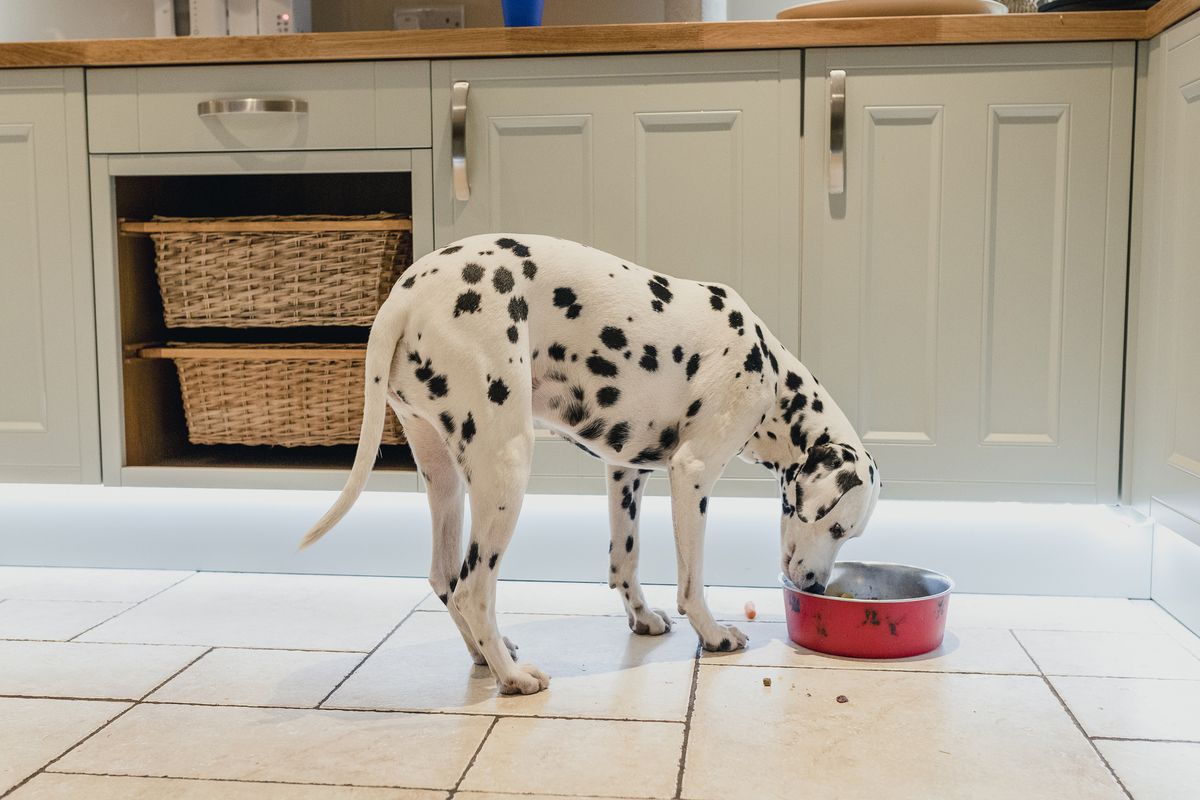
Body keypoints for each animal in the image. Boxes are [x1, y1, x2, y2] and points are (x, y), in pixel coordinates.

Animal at [300, 232, 883, 695]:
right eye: (835, 527)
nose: (814, 588)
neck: (769, 371)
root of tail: (405, 295)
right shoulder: (692, 477)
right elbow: (692, 582)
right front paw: (714, 634)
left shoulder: (626, 472)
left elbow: (625, 560)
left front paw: (642, 618)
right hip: (506, 467)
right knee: (472, 587)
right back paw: (512, 676)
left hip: (445, 480)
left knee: (446, 579)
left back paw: (488, 656)